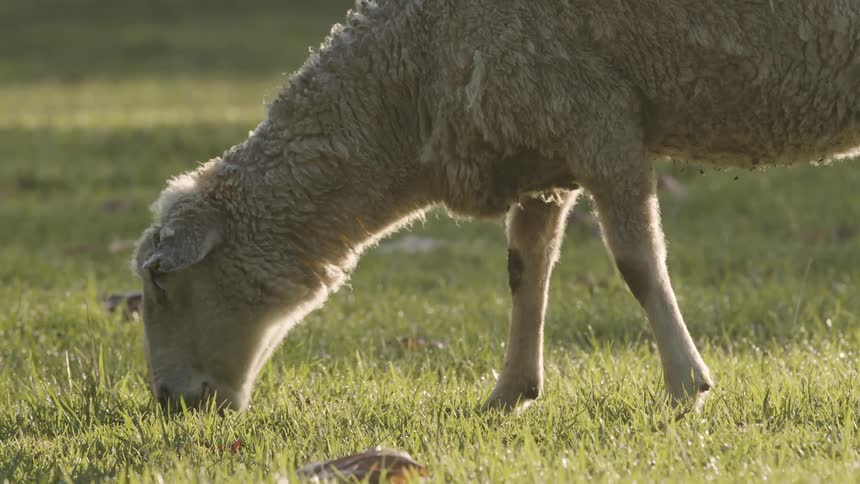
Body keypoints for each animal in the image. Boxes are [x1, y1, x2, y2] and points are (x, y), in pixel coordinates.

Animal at [132, 0, 860, 413]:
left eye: (161, 281)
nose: (169, 402)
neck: (409, 81)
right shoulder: (544, 147)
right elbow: (525, 269)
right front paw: (512, 391)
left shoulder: (600, 120)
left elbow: (636, 263)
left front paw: (687, 384)